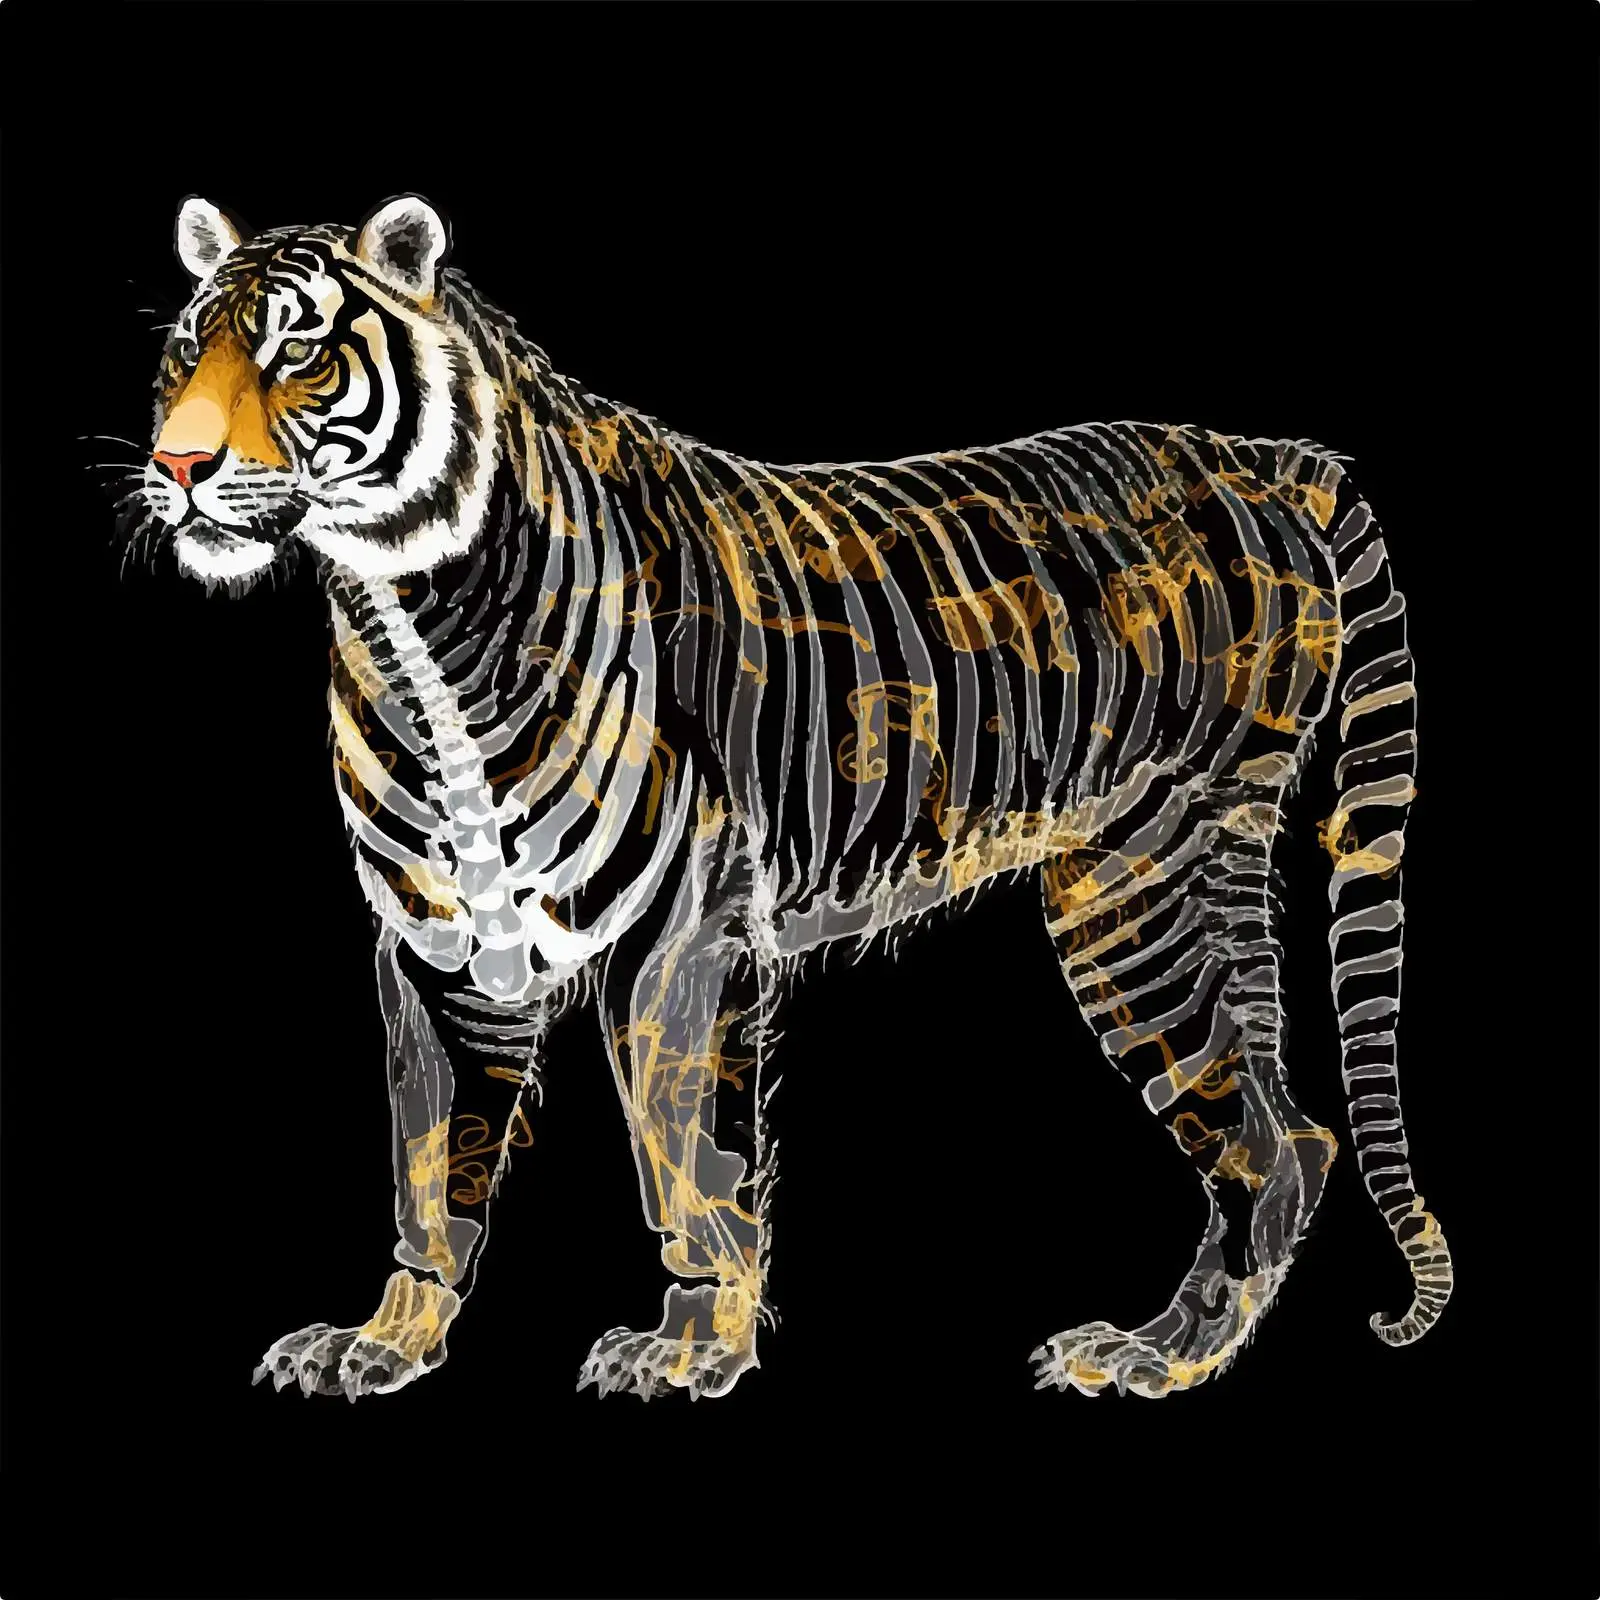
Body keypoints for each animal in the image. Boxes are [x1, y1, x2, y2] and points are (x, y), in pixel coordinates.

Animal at [119, 192, 1452, 1403]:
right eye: (187, 351)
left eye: (295, 349)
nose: (179, 464)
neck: (403, 616)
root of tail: (1270, 455)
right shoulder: (437, 935)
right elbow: (432, 1158)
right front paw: (386, 1342)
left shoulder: (682, 931)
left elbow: (692, 1156)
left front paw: (689, 1349)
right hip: (1201, 867)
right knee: (1296, 1128)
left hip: (1136, 876)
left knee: (1264, 1140)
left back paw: (1152, 1357)